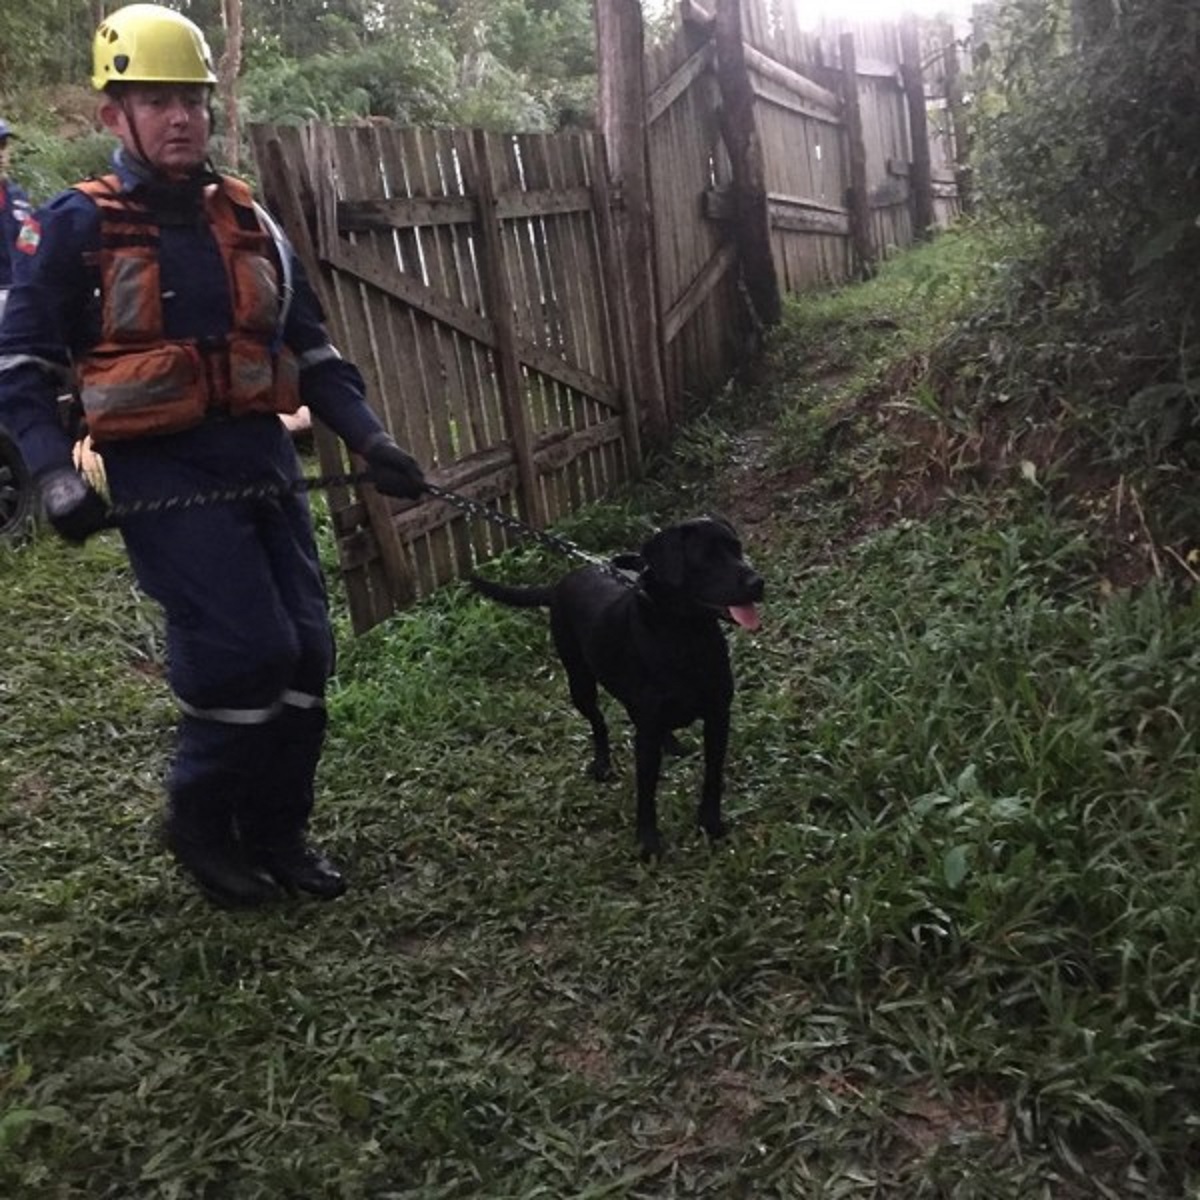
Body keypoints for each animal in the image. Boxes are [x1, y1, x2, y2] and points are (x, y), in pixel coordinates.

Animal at [470, 520, 763, 859]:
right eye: (706, 556)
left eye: (736, 548)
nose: (758, 582)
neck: (685, 636)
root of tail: (560, 583)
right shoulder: (647, 733)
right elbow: (646, 791)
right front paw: (648, 842)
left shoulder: (718, 716)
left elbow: (712, 775)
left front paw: (710, 823)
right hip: (580, 683)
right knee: (598, 723)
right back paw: (602, 763)